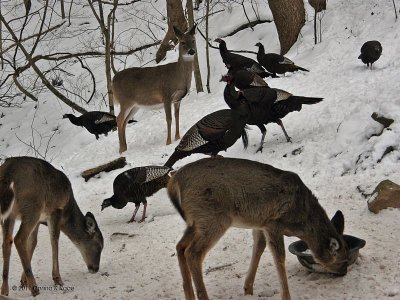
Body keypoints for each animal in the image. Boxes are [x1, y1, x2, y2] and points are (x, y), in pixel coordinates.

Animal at [0, 157, 103, 298]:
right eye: (99, 246)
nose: (95, 268)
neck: (67, 212)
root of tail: (8, 175)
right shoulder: (55, 209)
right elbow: (54, 240)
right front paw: (57, 279)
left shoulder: (39, 220)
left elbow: (33, 243)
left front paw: (23, 281)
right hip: (32, 206)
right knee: (19, 239)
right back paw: (35, 289)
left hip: (11, 214)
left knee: (7, 242)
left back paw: (5, 290)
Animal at [112, 24, 197, 154]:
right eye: (182, 42)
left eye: (193, 40)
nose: (191, 51)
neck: (178, 76)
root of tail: (112, 81)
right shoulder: (166, 95)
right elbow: (169, 118)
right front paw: (168, 142)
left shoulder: (178, 99)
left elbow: (177, 116)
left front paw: (177, 137)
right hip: (125, 101)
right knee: (119, 119)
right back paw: (121, 150)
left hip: (135, 105)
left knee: (125, 121)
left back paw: (125, 148)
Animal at [167, 157, 348, 300]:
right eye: (342, 260)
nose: (344, 272)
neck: (301, 221)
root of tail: (173, 182)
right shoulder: (274, 223)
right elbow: (279, 258)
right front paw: (285, 296)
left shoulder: (260, 224)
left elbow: (259, 248)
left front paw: (248, 289)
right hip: (213, 219)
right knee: (192, 253)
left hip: (196, 222)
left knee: (180, 246)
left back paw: (189, 295)